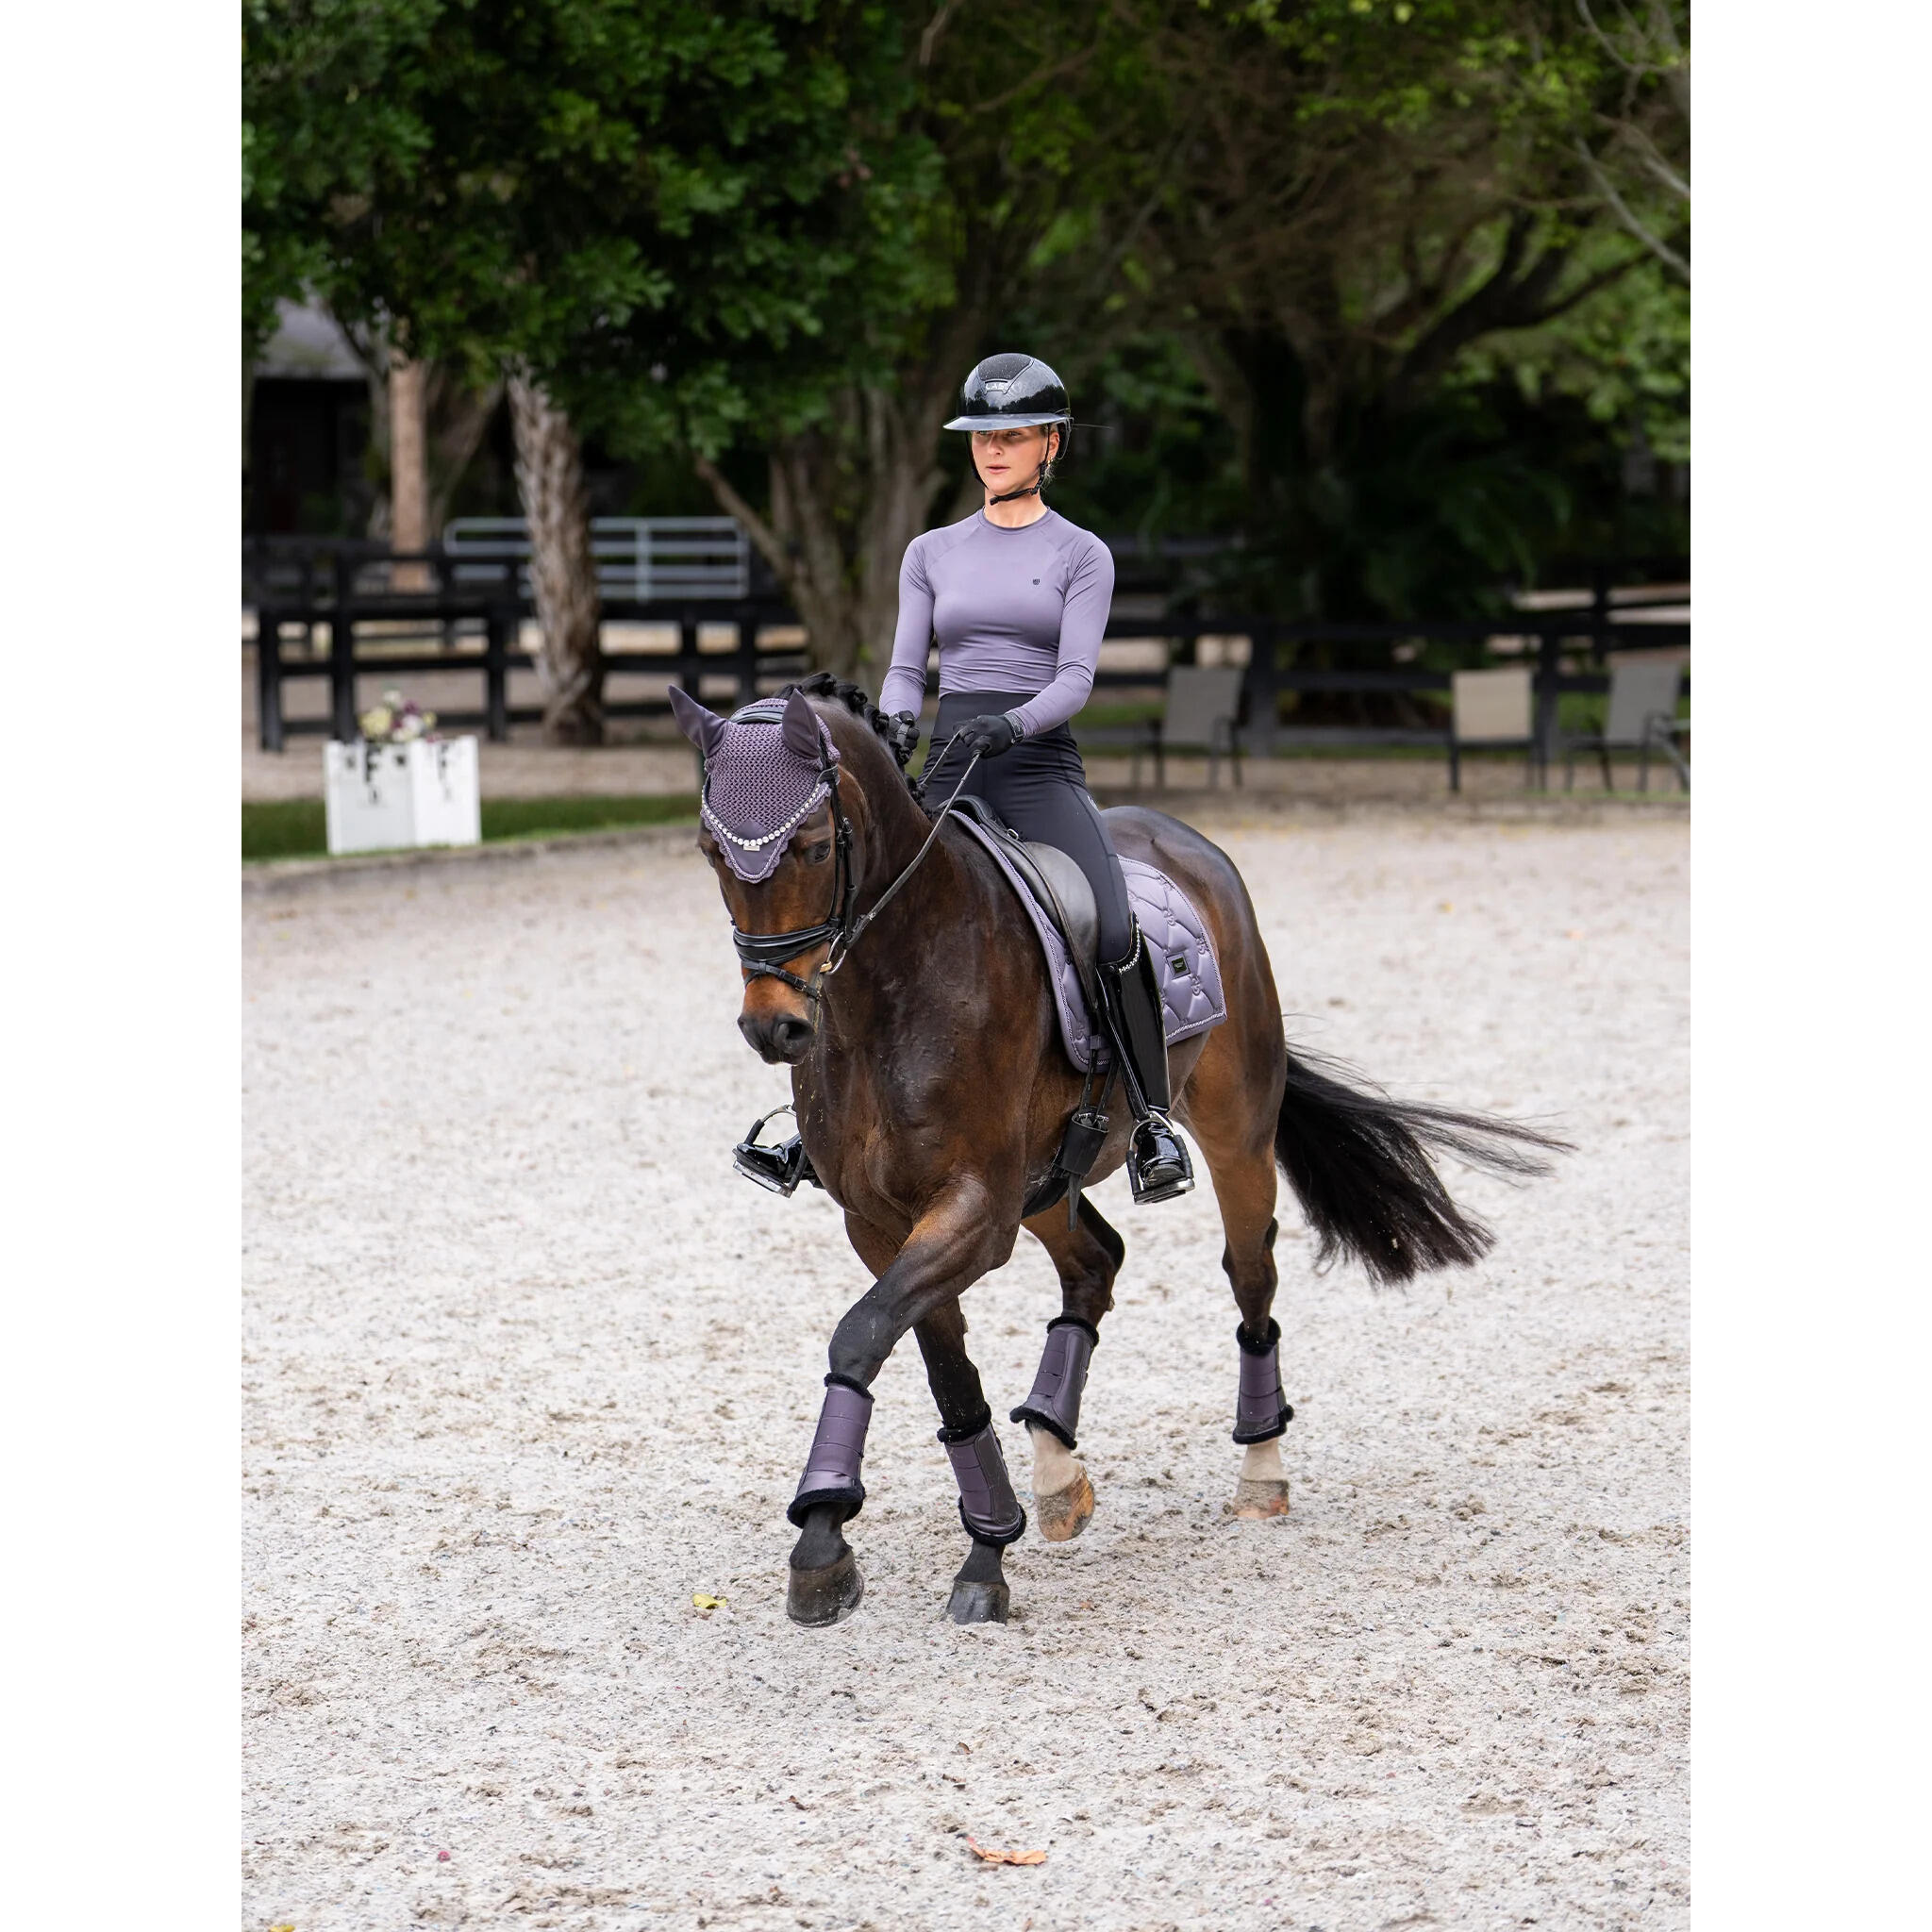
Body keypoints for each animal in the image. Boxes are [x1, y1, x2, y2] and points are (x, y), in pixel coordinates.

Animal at [674, 674, 1564, 1627]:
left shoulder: (974, 1210)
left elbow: (860, 1334)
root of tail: (1188, 843)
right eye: (711, 852)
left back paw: (1260, 1470)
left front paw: (852, 1543)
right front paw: (903, 1541)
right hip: (1049, 1180)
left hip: (1230, 1138)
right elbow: (932, 1368)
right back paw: (1056, 1469)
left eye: (808, 847)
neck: (898, 983)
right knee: (1096, 1261)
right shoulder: (882, 1222)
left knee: (1250, 1276)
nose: (774, 1028)